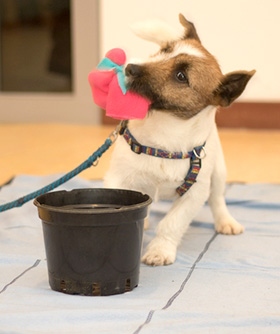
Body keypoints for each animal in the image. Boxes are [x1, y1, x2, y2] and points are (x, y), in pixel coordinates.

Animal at [104, 13, 255, 266]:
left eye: (181, 76)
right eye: (164, 50)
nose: (131, 67)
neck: (164, 139)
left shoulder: (195, 194)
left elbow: (172, 223)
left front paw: (160, 250)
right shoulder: (117, 178)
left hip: (219, 172)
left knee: (217, 199)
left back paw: (226, 221)